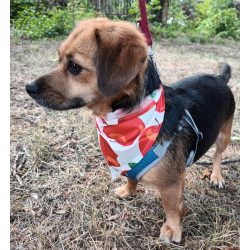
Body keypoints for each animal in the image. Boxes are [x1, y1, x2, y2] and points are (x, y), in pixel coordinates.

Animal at [26, 18, 235, 244]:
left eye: (74, 66)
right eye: (59, 59)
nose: (29, 88)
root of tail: (219, 78)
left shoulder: (170, 185)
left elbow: (170, 207)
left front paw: (172, 227)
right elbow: (131, 177)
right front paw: (129, 190)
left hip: (224, 135)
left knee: (218, 155)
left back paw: (216, 176)